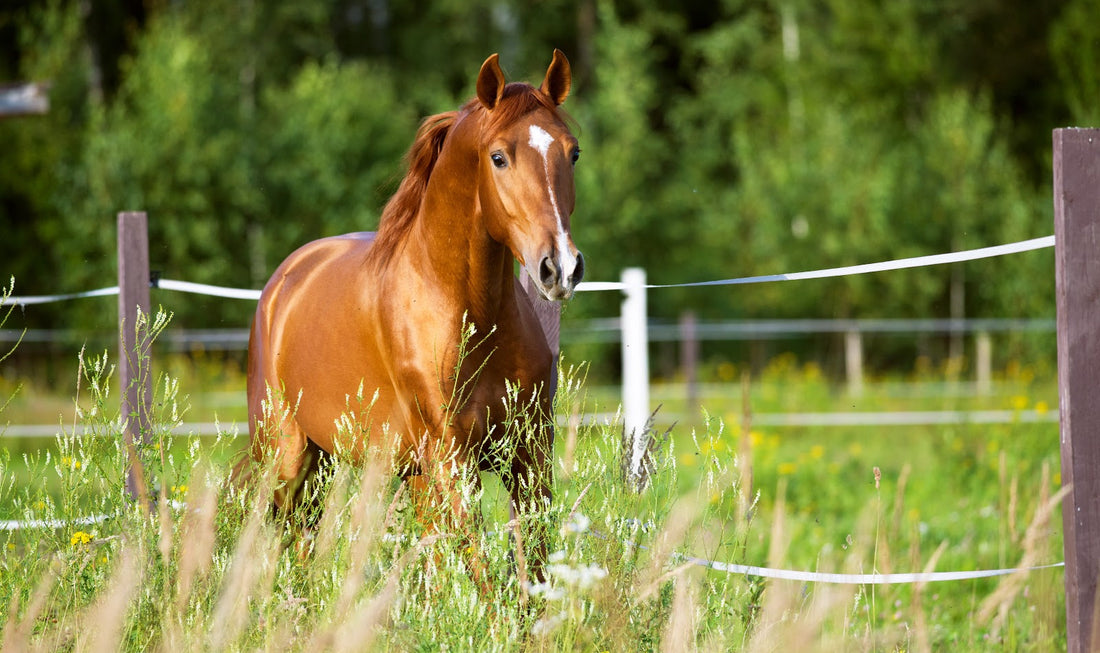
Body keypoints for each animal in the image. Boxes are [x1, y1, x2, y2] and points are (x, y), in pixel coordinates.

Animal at [243, 49, 585, 580]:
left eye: (572, 153)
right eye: (499, 157)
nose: (560, 268)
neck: (470, 316)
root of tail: (284, 280)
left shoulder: (527, 456)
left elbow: (533, 566)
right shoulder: (452, 460)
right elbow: (480, 573)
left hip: (358, 465)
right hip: (287, 457)